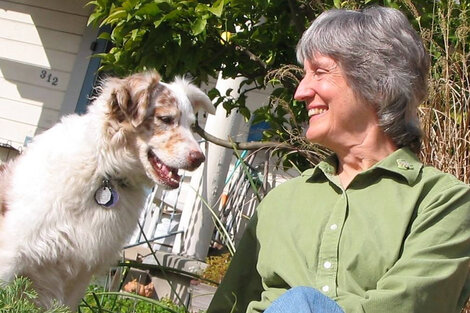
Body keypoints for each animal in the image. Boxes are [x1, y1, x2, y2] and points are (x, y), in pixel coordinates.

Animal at [0, 70, 216, 308]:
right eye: (166, 119)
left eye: (191, 125)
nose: (200, 158)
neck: (105, 171)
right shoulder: (12, 252)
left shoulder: (80, 272)